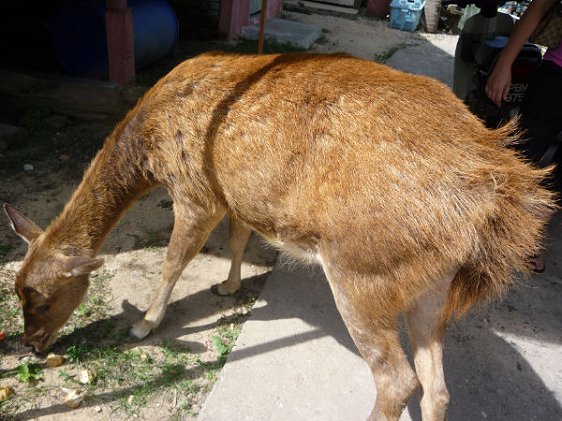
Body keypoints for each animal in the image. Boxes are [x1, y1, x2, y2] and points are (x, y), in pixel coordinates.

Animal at [2, 52, 552, 420]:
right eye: (16, 289)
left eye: (42, 298)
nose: (31, 345)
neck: (148, 147)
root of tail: (494, 201)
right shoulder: (234, 195)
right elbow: (238, 240)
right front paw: (228, 286)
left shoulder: (196, 190)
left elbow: (173, 261)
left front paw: (144, 324)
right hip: (431, 286)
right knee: (436, 386)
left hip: (362, 270)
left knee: (397, 378)